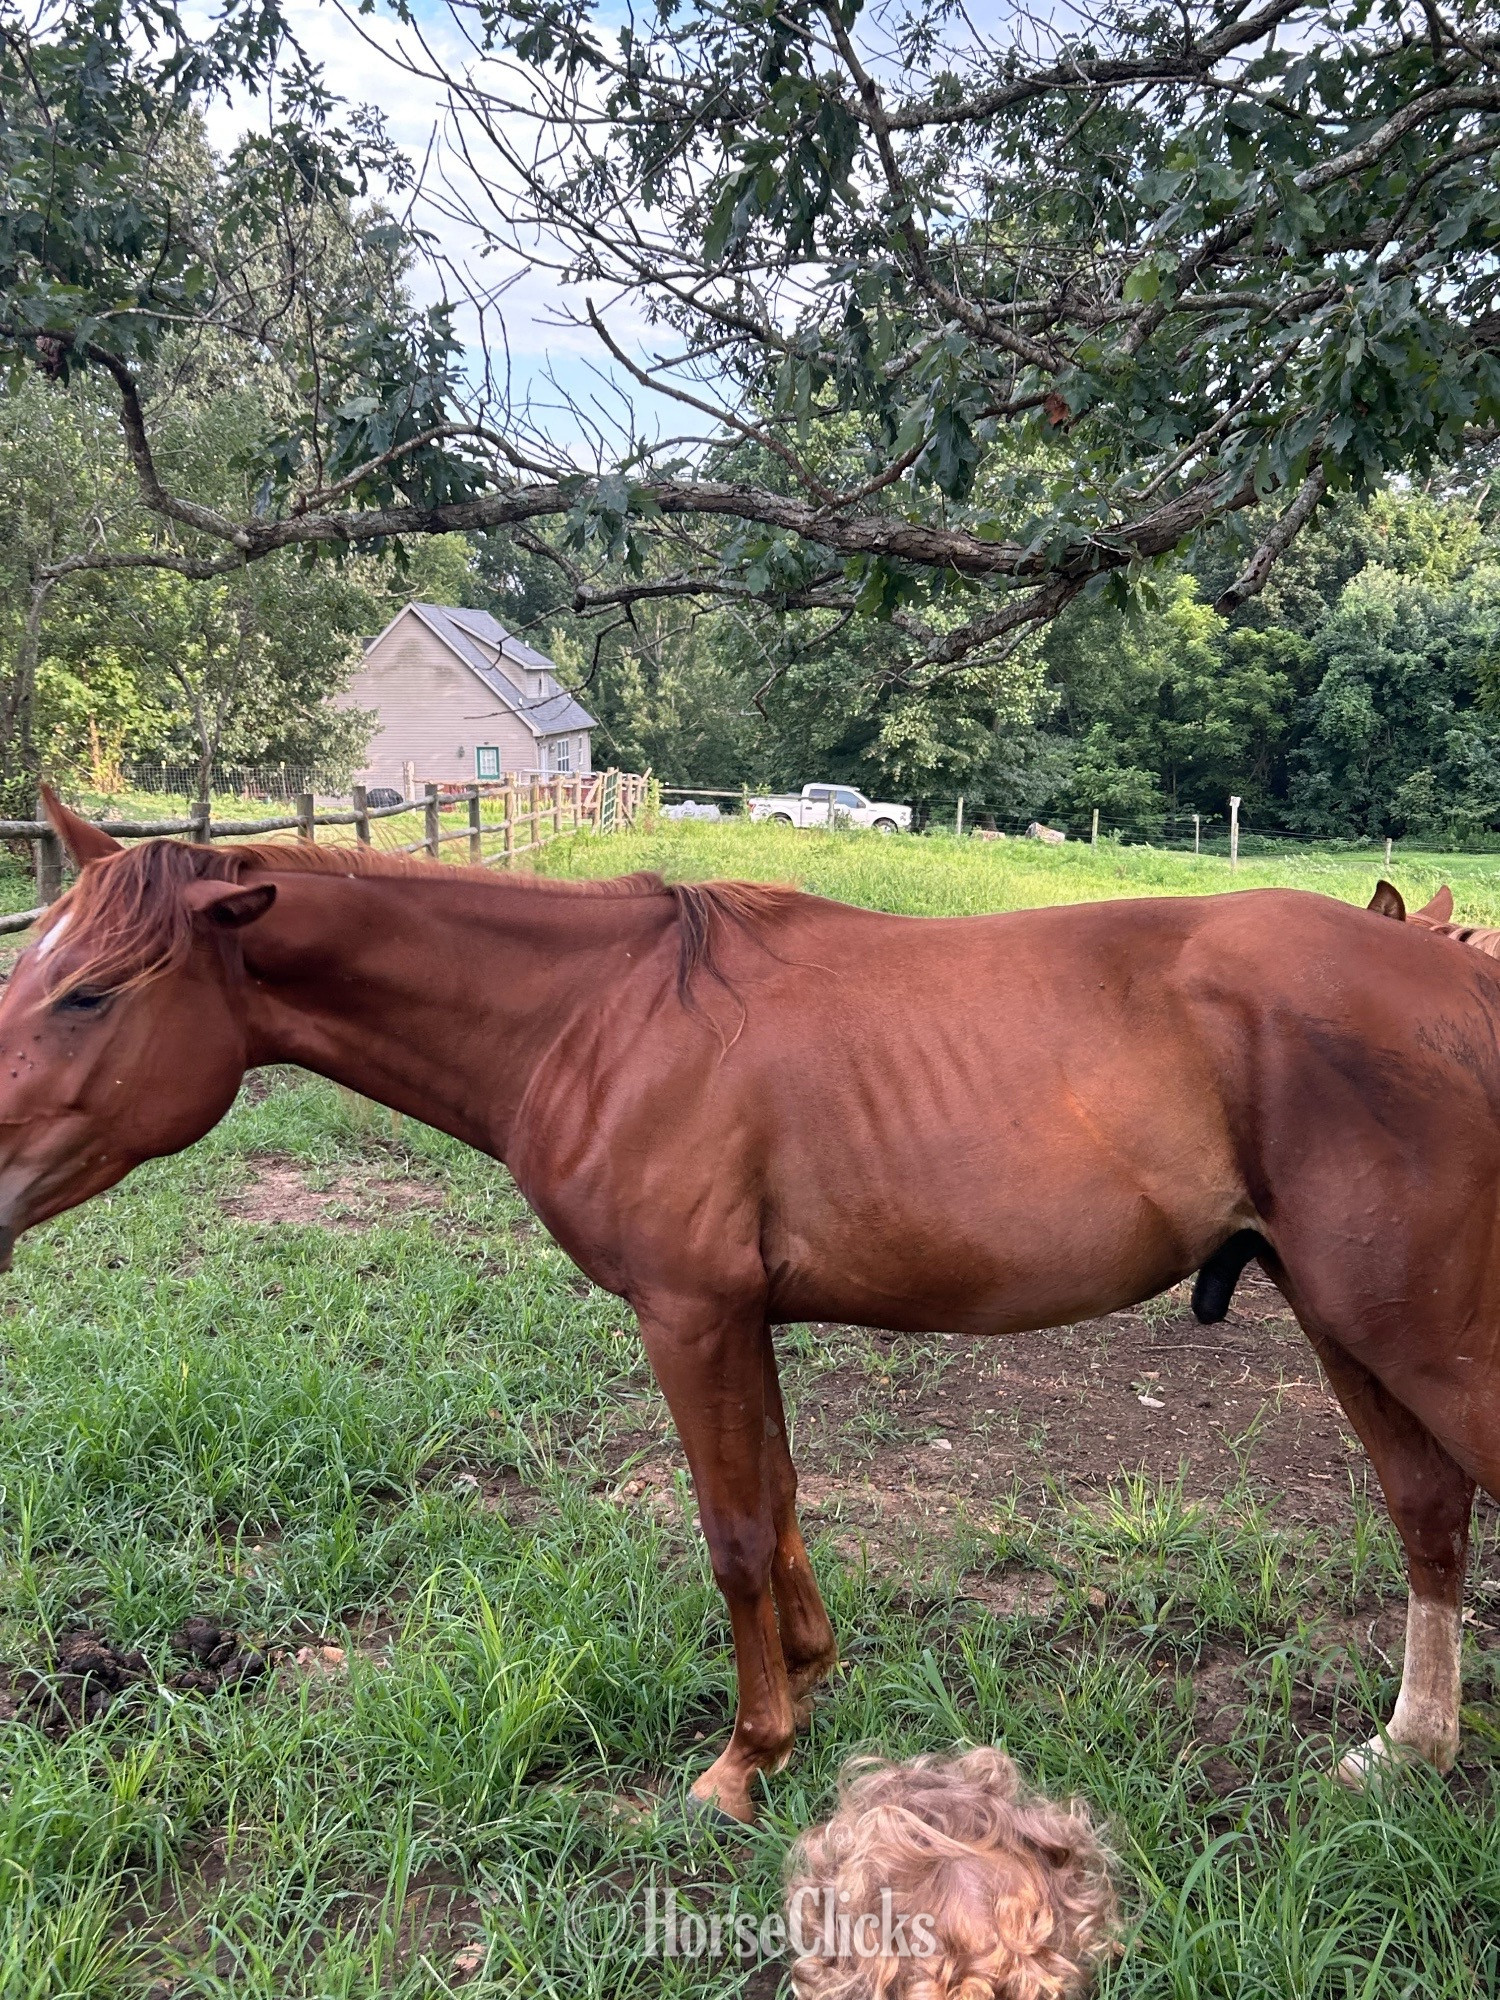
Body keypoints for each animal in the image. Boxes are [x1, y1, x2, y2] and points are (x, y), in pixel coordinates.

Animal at [2, 793, 1498, 1822]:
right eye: (32, 969)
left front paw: (743, 1760)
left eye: (90, 991)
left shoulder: (689, 1314)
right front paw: (815, 1682)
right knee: (1426, 1510)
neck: (597, 1016)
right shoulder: (741, 1321)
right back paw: (1409, 1747)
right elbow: (776, 1499)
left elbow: (729, 1533)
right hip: (1349, 1322)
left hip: (1415, 1331)